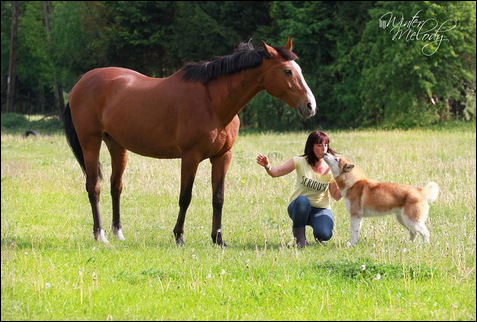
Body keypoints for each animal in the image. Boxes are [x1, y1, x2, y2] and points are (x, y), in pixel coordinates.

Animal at [63, 36, 316, 245]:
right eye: (287, 71)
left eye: (299, 69)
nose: (310, 105)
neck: (212, 102)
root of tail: (80, 83)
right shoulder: (190, 156)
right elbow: (185, 197)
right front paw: (179, 236)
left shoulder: (222, 157)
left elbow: (218, 198)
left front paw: (218, 239)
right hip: (91, 142)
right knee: (93, 187)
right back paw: (100, 234)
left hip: (117, 145)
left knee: (116, 186)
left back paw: (118, 232)